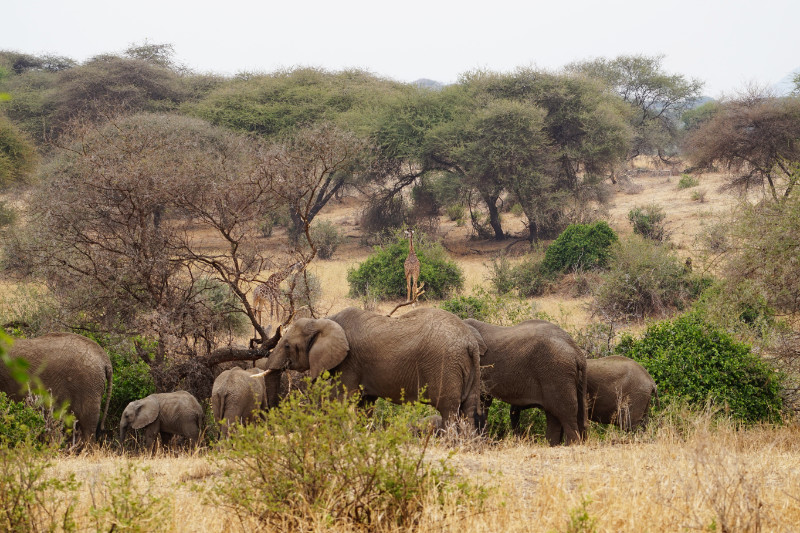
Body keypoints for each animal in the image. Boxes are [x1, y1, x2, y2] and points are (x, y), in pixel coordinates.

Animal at [255, 307, 484, 428]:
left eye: (287, 345)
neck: (324, 321)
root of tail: (470, 342)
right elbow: (365, 405)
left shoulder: (349, 363)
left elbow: (340, 399)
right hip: (468, 367)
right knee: (467, 411)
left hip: (446, 365)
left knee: (449, 411)